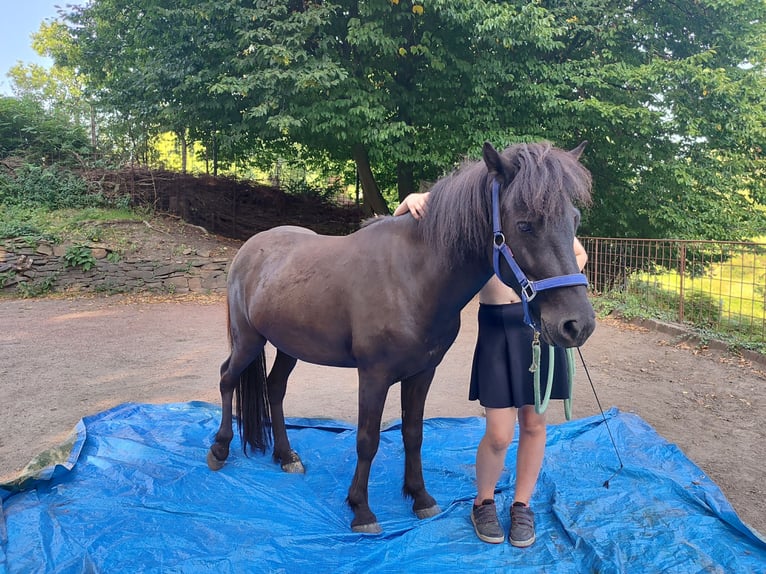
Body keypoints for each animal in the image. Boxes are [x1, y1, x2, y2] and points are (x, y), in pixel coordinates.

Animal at [207, 141, 596, 534]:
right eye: (525, 224)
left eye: (575, 220)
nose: (577, 324)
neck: (413, 276)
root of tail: (250, 248)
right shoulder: (373, 376)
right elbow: (367, 439)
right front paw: (361, 510)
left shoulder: (422, 373)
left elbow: (413, 434)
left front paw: (420, 497)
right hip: (248, 339)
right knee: (227, 378)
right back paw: (219, 449)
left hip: (289, 345)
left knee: (274, 388)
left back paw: (285, 455)